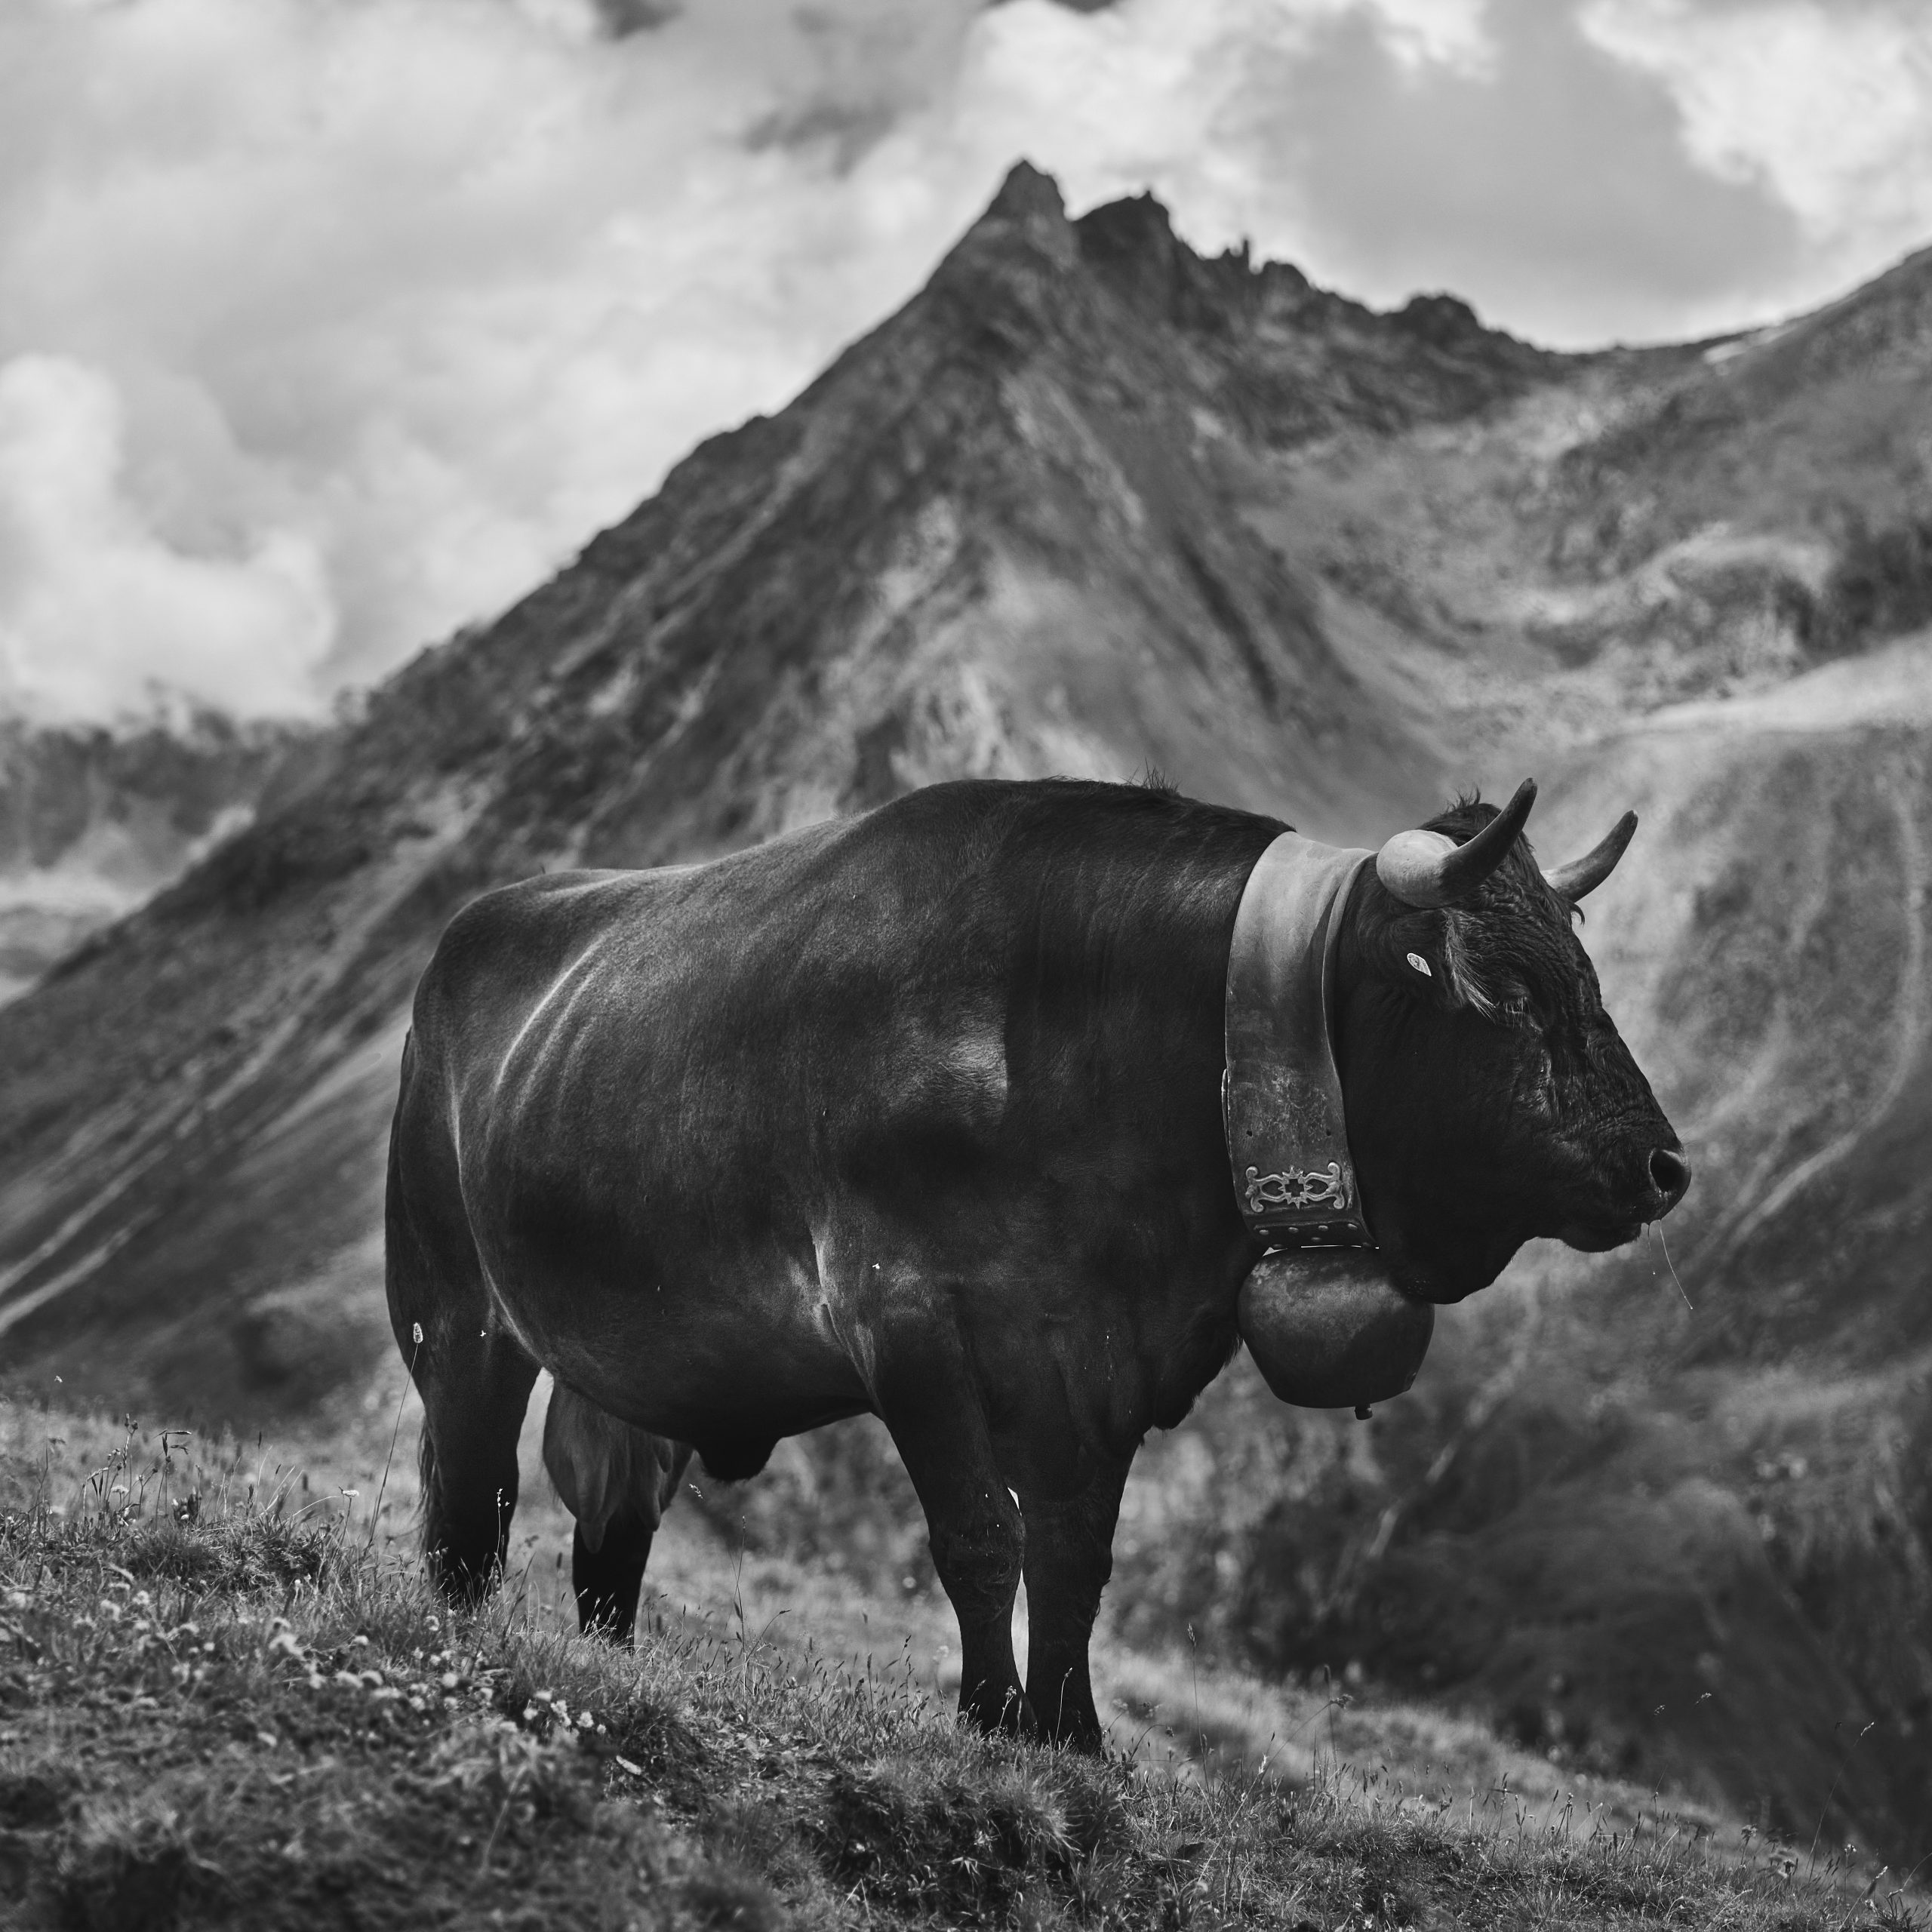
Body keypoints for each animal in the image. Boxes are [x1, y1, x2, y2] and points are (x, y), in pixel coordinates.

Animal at [384, 775, 1687, 1749]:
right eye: (1505, 989)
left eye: (1584, 971)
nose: (1663, 1163)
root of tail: (485, 918)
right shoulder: (904, 1318)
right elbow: (981, 1537)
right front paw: (989, 1717)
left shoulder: (1097, 1359)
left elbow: (1074, 1554)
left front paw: (1072, 1735)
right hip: (453, 1311)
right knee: (471, 1498)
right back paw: (456, 1633)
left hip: (638, 1355)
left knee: (613, 1519)